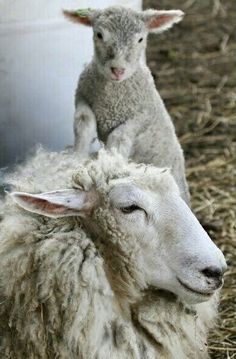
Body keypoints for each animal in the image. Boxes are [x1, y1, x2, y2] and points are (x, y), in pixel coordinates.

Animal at [62, 5, 190, 204]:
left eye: (140, 39)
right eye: (99, 34)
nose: (118, 69)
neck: (112, 97)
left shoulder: (141, 117)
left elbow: (119, 137)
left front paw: (110, 166)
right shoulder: (82, 97)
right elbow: (83, 122)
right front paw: (78, 157)